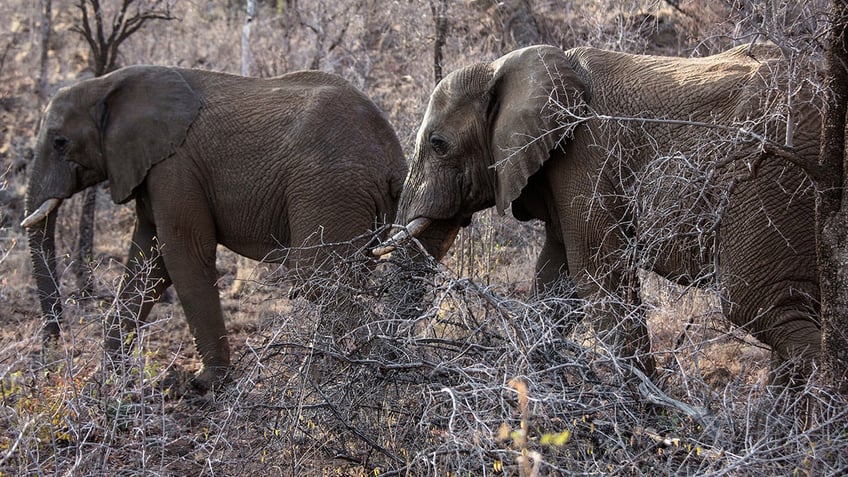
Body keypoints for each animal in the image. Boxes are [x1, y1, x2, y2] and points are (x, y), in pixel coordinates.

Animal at [23, 64, 414, 390]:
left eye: (60, 142)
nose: (50, 367)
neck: (107, 84)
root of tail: (394, 160)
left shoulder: (175, 167)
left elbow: (183, 255)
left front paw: (203, 384)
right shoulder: (150, 170)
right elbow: (147, 263)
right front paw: (107, 380)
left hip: (330, 188)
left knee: (319, 280)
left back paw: (340, 376)